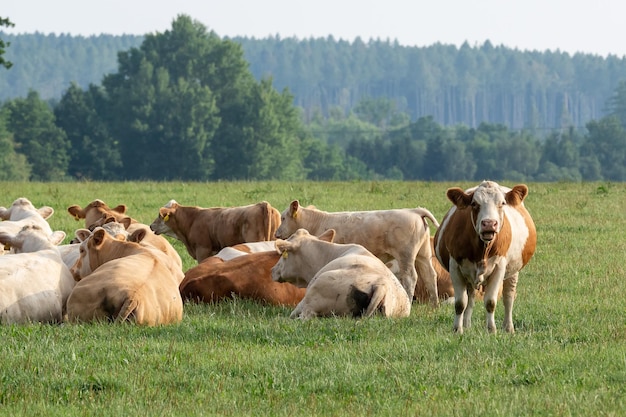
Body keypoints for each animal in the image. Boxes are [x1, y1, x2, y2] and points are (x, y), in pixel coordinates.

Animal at [272, 200, 438, 304]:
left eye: (283, 217)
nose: (276, 234)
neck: (318, 222)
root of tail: (414, 210)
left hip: (406, 255)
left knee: (410, 278)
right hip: (423, 255)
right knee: (430, 276)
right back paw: (434, 305)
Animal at [432, 180, 532, 334]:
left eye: (502, 203)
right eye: (474, 204)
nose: (489, 223)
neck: (482, 250)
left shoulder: (499, 267)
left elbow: (490, 302)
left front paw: (491, 330)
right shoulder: (455, 267)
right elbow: (460, 303)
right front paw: (457, 329)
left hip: (514, 270)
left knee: (509, 297)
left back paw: (508, 327)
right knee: (471, 298)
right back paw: (466, 324)